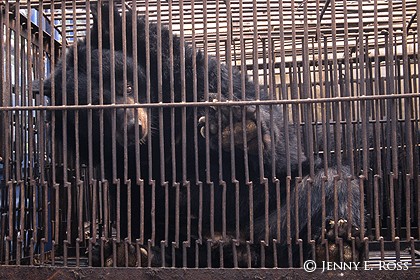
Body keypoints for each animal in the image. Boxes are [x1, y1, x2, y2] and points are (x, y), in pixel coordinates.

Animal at [43, 3, 364, 268]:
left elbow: (284, 156)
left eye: (128, 86)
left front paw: (235, 126)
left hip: (269, 224)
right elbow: (132, 198)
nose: (134, 127)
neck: (160, 127)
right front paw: (124, 247)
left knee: (330, 181)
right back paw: (123, 253)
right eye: (95, 112)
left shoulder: (197, 78)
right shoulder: (116, 161)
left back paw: (333, 244)